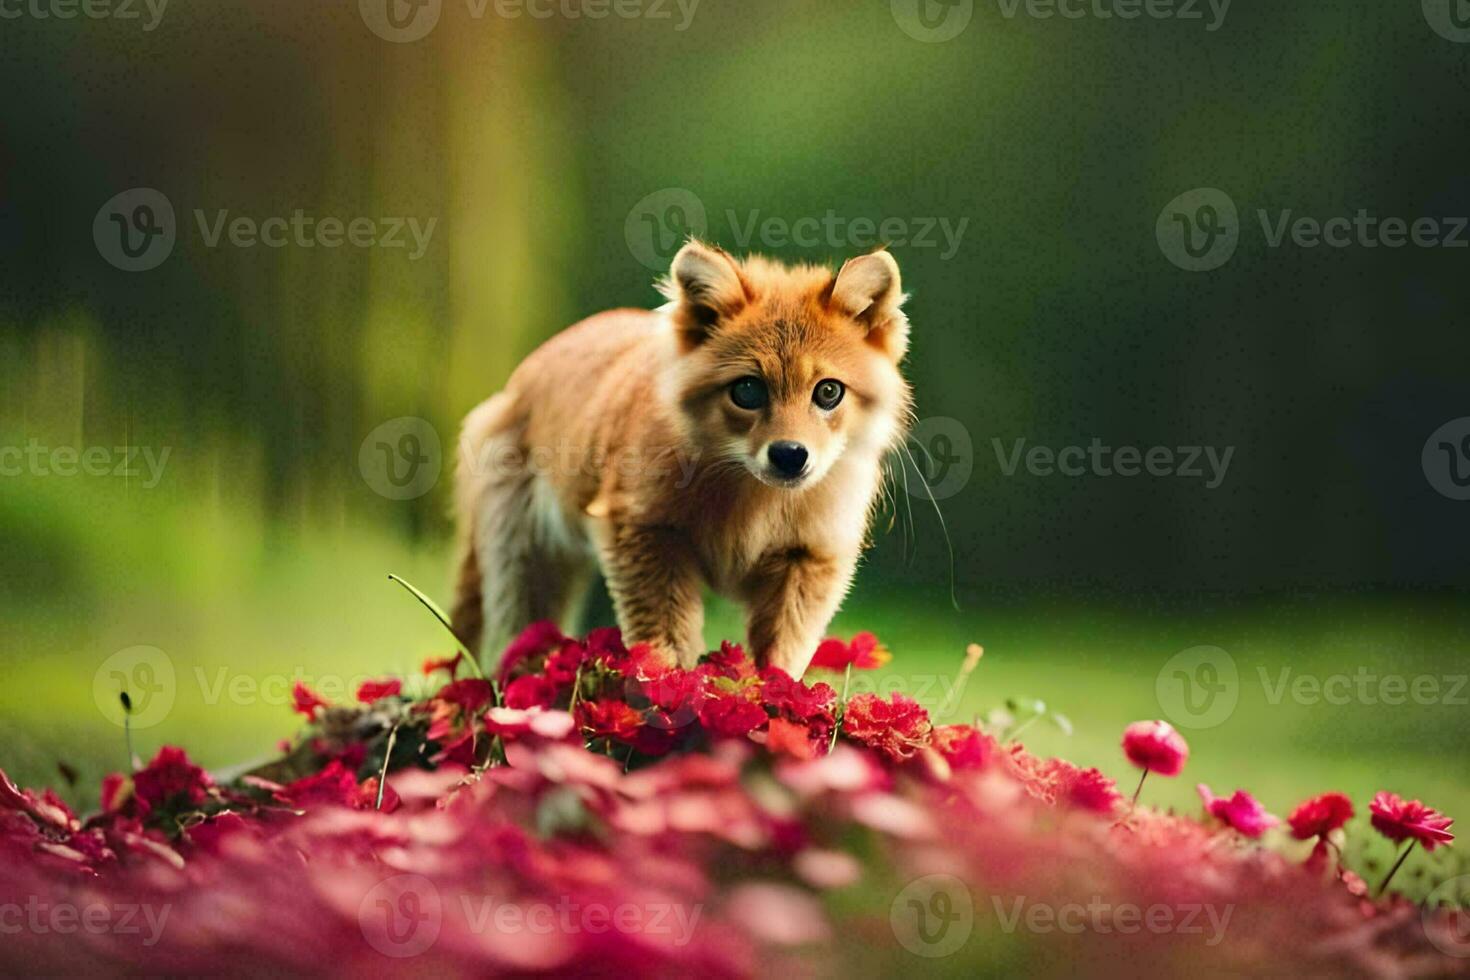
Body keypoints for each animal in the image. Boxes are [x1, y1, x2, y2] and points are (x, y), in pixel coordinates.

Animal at [449, 240, 905, 678]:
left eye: (828, 392)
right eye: (748, 390)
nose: (790, 455)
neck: (752, 506)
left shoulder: (810, 560)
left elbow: (781, 657)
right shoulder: (645, 534)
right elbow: (665, 643)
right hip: (522, 568)